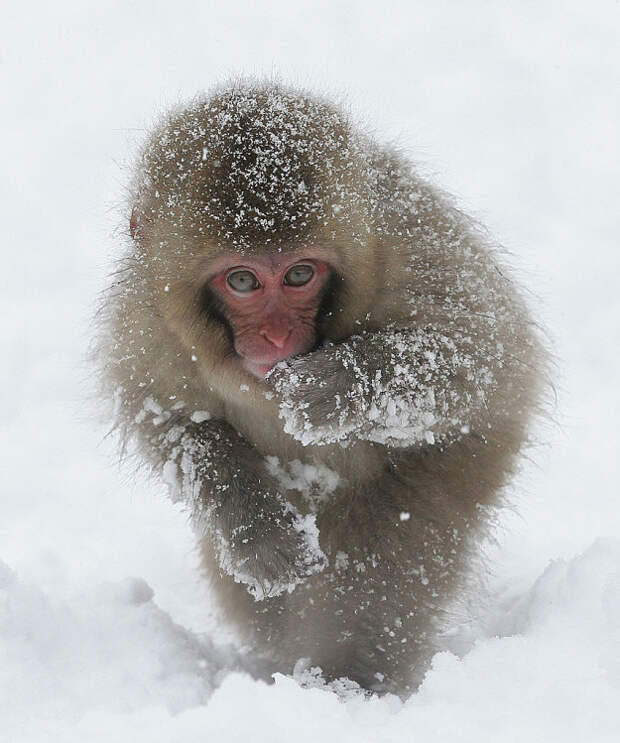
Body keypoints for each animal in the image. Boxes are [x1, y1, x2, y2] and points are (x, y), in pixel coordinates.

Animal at [97, 81, 544, 696]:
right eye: (242, 280)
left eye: (300, 275)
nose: (277, 336)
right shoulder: (148, 324)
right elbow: (170, 421)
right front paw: (253, 525)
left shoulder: (412, 245)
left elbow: (488, 351)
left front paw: (337, 386)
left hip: (457, 468)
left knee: (378, 573)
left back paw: (347, 682)